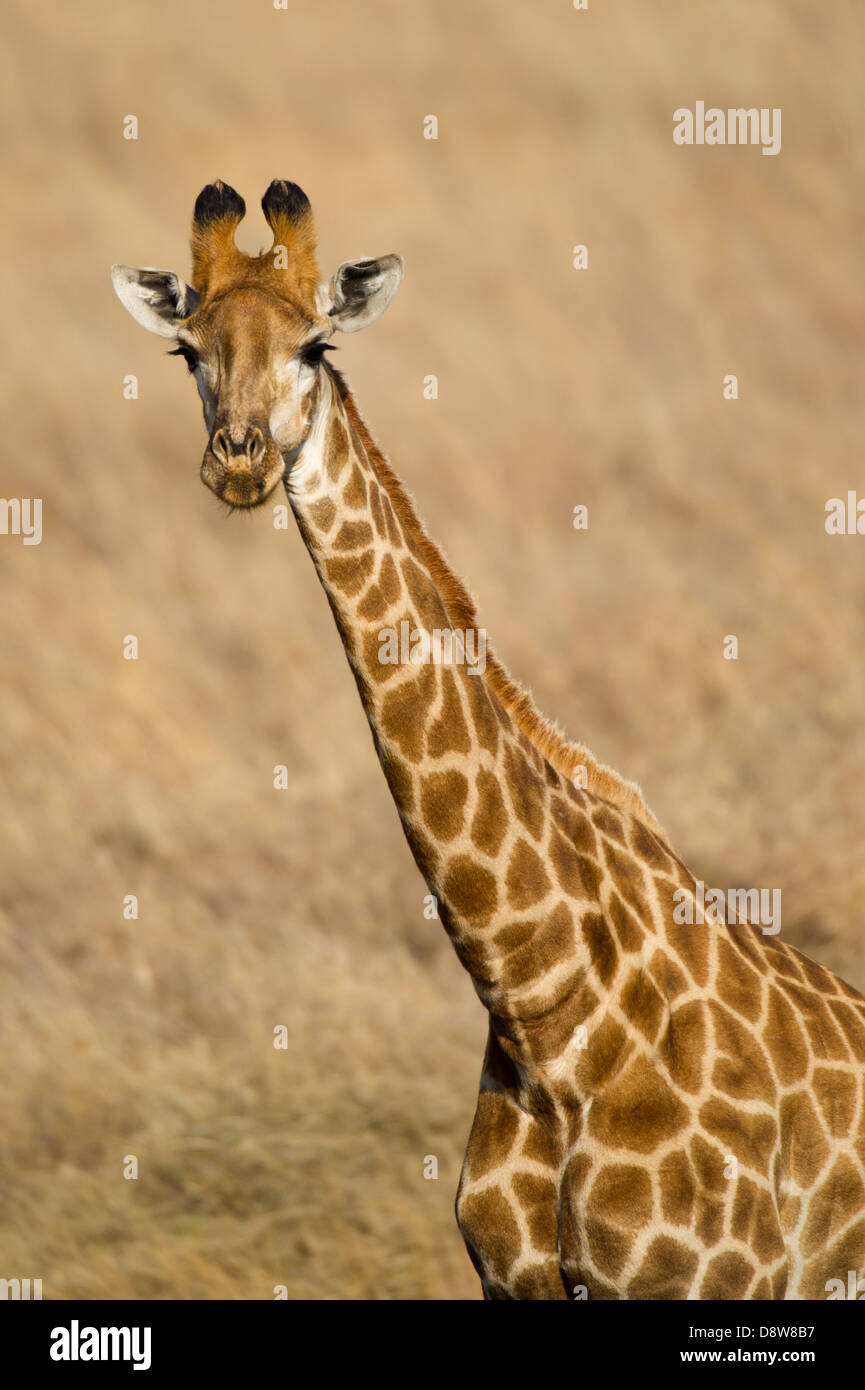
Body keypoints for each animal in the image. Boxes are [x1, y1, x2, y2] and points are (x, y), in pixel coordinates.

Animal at [111, 179, 865, 1295]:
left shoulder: (714, 1278)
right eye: (187, 350)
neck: (541, 1004)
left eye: (316, 345)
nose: (238, 465)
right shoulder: (507, 1278)